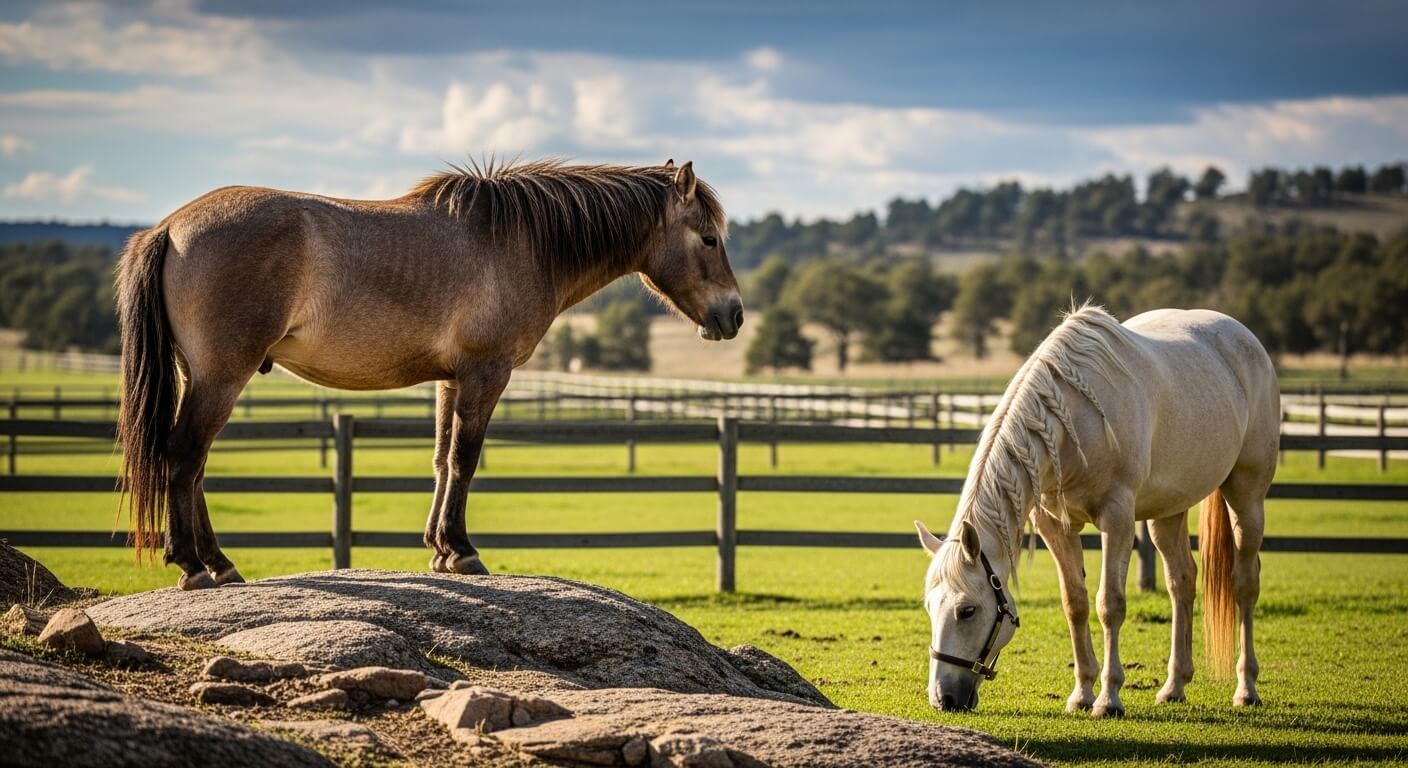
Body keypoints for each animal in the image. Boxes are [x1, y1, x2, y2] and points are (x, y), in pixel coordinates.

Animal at [116, 158, 743, 590]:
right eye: (709, 238)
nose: (734, 315)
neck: (517, 242)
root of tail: (168, 228)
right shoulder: (487, 373)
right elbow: (466, 459)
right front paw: (462, 551)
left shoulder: (451, 379)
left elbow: (443, 459)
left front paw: (439, 550)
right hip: (222, 375)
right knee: (184, 456)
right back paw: (194, 565)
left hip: (203, 376)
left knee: (192, 464)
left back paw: (220, 565)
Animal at [914, 304, 1278, 717]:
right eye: (930, 607)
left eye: (968, 611)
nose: (943, 698)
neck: (1071, 421)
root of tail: (1243, 336)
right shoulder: (1055, 525)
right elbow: (1075, 603)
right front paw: (1082, 693)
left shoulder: (1116, 519)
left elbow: (1110, 605)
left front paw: (1108, 698)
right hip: (1168, 511)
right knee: (1181, 582)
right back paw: (1174, 686)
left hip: (1246, 496)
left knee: (1244, 583)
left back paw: (1246, 688)